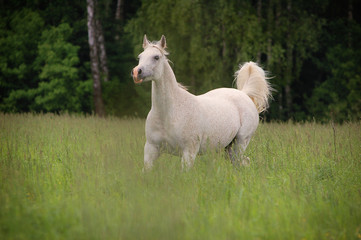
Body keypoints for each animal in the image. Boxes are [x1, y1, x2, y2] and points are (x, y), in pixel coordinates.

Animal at [131, 35, 270, 171]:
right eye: (140, 56)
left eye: (156, 57)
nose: (137, 72)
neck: (170, 113)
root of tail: (244, 94)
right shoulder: (151, 149)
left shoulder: (189, 152)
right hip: (229, 148)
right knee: (242, 163)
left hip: (240, 142)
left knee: (243, 162)